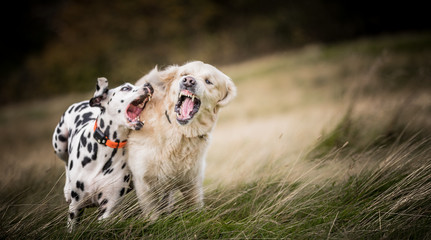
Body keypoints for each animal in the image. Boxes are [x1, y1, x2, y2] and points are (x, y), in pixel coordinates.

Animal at [53, 77, 154, 231]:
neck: (104, 152)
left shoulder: (108, 205)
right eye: (125, 88)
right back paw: (67, 188)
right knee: (65, 162)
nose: (149, 85)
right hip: (59, 142)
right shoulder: (75, 206)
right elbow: (71, 227)